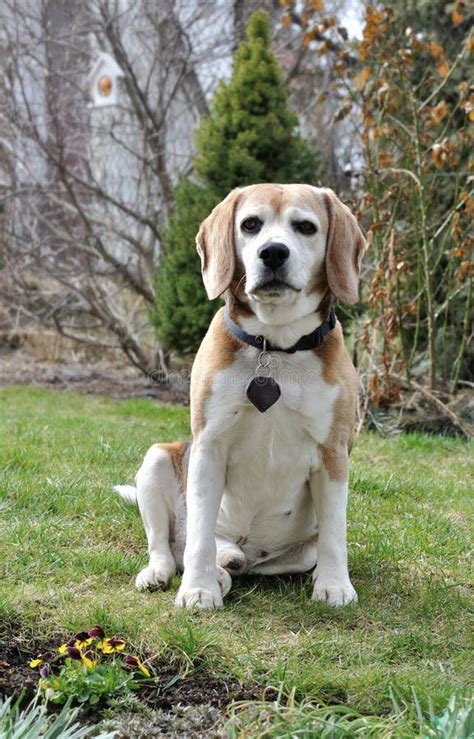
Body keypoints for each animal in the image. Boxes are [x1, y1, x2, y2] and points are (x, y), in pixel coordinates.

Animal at [115, 184, 366, 608]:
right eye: (250, 225)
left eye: (305, 227)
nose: (273, 252)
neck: (276, 347)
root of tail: (247, 553)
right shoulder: (208, 448)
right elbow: (199, 537)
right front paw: (198, 589)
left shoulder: (333, 454)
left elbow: (336, 532)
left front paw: (334, 585)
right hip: (157, 460)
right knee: (170, 547)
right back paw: (175, 572)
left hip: (297, 550)